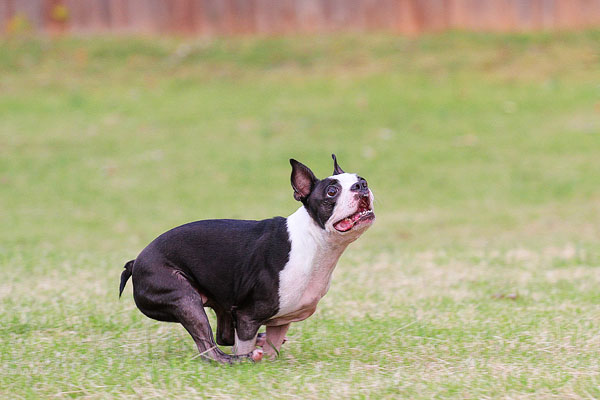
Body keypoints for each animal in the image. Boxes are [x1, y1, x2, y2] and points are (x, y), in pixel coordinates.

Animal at [119, 154, 372, 362]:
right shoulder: (247, 316)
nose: (362, 185)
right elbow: (244, 342)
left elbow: (272, 348)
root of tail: (136, 262)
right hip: (185, 298)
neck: (313, 240)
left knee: (222, 337)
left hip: (217, 302)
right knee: (209, 349)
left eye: (361, 179)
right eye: (332, 191)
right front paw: (250, 360)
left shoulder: (281, 320)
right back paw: (239, 360)